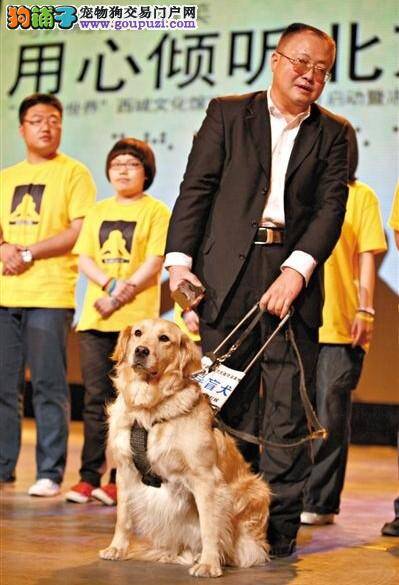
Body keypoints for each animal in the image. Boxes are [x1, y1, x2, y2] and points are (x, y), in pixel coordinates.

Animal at [99, 318, 272, 576]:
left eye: (164, 338)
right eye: (138, 333)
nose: (141, 351)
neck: (150, 409)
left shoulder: (205, 478)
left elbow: (209, 526)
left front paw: (209, 563)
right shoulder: (125, 470)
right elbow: (123, 517)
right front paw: (117, 548)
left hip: (255, 491)